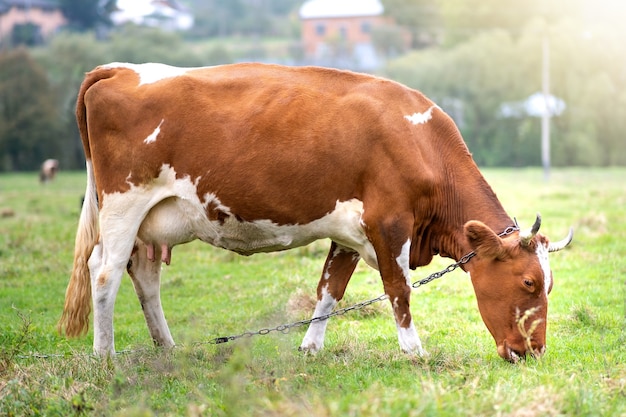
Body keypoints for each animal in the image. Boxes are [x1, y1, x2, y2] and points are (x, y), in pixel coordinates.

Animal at [58, 61, 572, 360]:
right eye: (529, 282)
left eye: (548, 284)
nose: (535, 351)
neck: (422, 144)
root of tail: (117, 69)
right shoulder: (390, 225)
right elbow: (399, 290)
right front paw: (415, 351)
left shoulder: (350, 233)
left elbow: (329, 289)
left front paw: (310, 346)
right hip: (124, 204)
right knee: (103, 273)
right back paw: (104, 356)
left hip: (150, 222)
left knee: (143, 276)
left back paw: (166, 347)